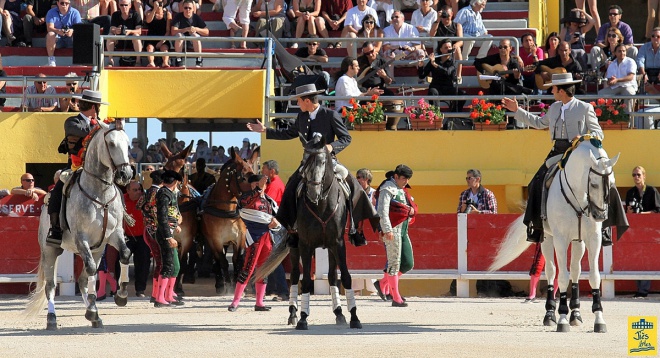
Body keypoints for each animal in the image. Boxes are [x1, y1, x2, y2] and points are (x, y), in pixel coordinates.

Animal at [25, 119, 133, 330]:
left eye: (128, 144)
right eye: (112, 144)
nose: (126, 174)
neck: (101, 194)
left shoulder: (113, 235)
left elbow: (125, 254)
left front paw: (121, 295)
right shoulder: (81, 238)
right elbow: (91, 269)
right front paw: (92, 309)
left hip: (97, 250)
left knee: (83, 280)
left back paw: (95, 315)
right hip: (50, 250)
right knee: (50, 285)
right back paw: (52, 318)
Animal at [202, 146, 260, 294]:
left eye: (255, 174)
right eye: (244, 177)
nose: (256, 197)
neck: (226, 210)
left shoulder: (240, 237)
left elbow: (237, 259)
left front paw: (237, 284)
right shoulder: (216, 239)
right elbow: (223, 261)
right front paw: (227, 285)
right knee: (217, 260)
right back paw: (219, 284)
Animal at [490, 137, 620, 332]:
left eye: (612, 183)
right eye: (594, 184)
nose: (600, 216)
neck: (579, 195)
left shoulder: (593, 239)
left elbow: (594, 276)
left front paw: (599, 319)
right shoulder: (560, 239)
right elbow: (562, 276)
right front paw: (562, 319)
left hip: (578, 241)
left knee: (575, 270)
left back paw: (576, 314)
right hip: (547, 239)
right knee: (551, 271)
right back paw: (550, 314)